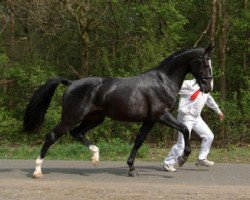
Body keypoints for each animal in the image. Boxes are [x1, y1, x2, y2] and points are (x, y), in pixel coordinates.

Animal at [24, 45, 214, 178]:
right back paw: (37, 171)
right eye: (205, 62)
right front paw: (182, 159)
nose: (208, 87)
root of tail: (70, 83)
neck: (163, 82)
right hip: (71, 117)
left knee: (76, 133)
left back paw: (95, 157)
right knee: (52, 136)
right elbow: (185, 129)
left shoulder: (149, 120)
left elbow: (138, 142)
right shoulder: (161, 116)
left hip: (95, 118)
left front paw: (132, 168)